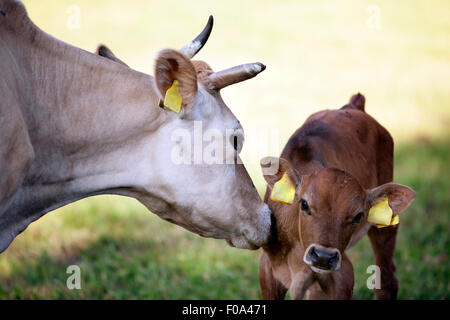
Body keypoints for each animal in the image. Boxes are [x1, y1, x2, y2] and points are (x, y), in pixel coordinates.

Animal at [260, 93, 414, 300]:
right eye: (304, 204)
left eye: (358, 215)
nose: (324, 256)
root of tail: (353, 106)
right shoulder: (268, 269)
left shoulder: (343, 274)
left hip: (385, 225)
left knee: (387, 281)